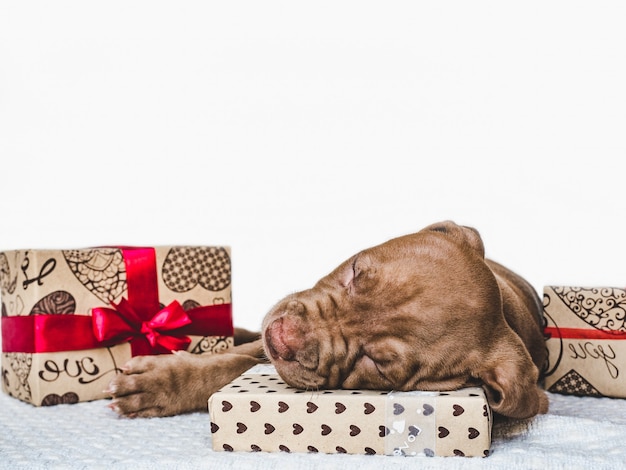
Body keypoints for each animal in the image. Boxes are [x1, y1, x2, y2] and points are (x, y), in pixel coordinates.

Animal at [108, 222, 544, 420]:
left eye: (378, 364)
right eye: (355, 271)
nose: (283, 338)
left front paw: (155, 387)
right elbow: (228, 359)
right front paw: (163, 377)